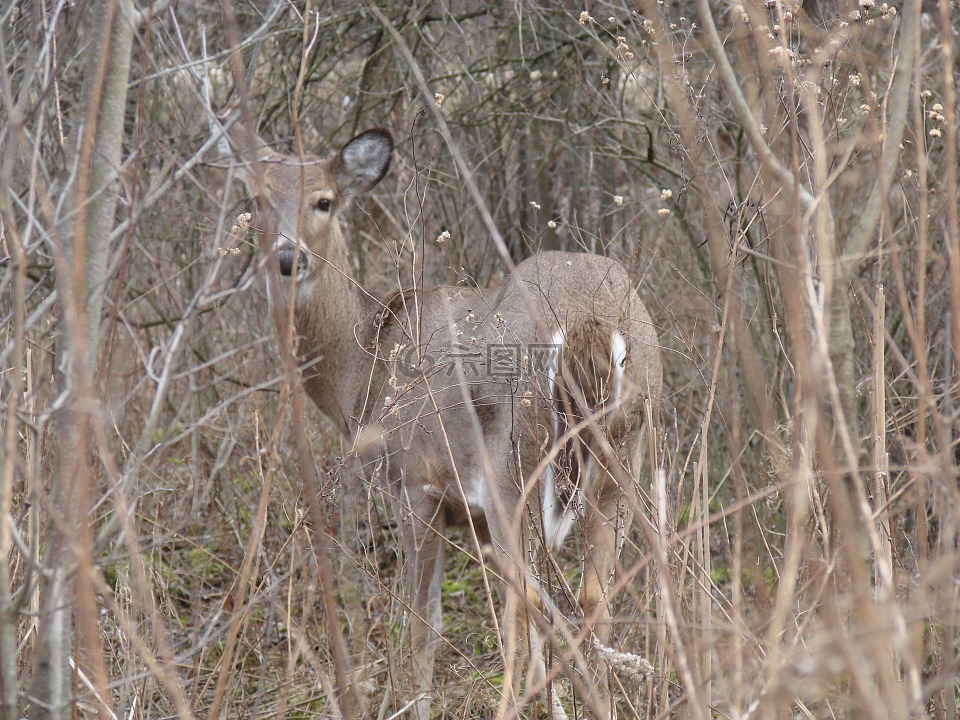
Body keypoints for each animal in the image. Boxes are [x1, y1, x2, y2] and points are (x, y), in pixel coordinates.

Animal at [226, 125, 664, 720]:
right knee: (591, 598)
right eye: (259, 198)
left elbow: (423, 623)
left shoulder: (417, 485)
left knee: (526, 608)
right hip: (623, 461)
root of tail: (587, 323)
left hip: (513, 471)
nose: (288, 259)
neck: (362, 373)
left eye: (324, 200)